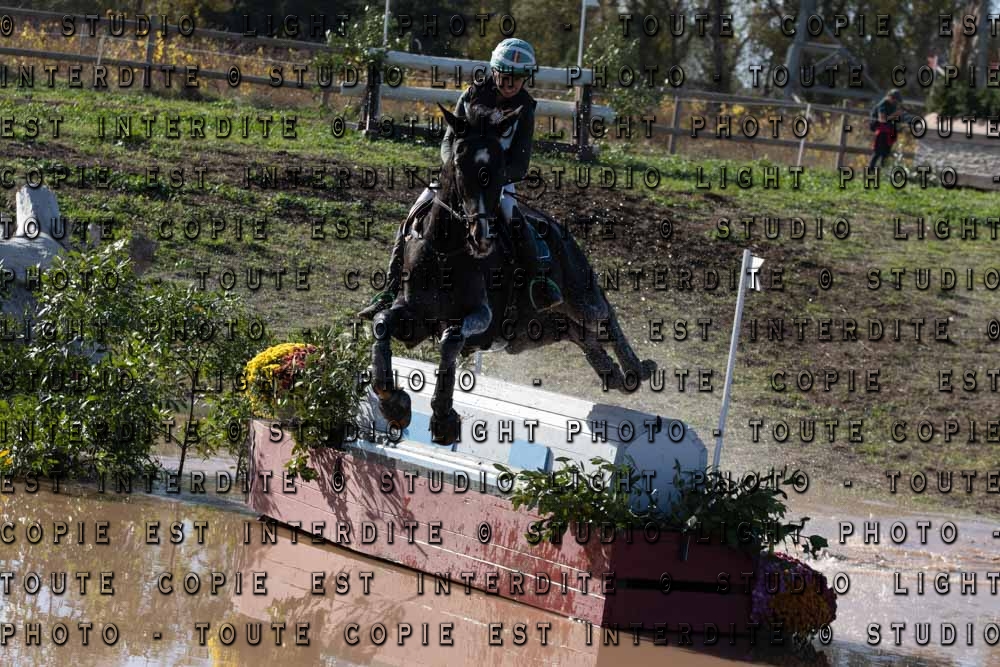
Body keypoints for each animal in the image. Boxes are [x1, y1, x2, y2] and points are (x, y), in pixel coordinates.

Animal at [366, 102, 656, 445]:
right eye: (459, 162)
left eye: (498, 166)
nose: (481, 237)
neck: (445, 250)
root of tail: (559, 228)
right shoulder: (416, 317)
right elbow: (382, 324)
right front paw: (394, 403)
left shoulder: (482, 320)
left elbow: (451, 340)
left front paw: (444, 419)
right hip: (541, 328)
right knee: (581, 334)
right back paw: (611, 374)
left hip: (577, 294)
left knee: (604, 315)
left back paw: (635, 370)